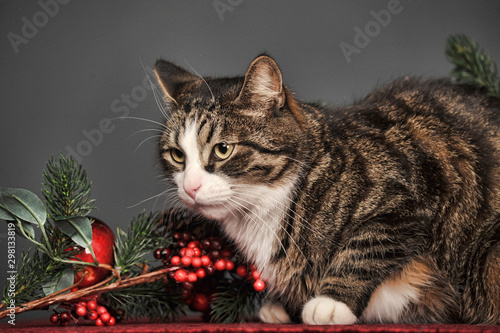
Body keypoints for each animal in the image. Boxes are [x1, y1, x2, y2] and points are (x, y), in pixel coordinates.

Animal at [154, 55, 498, 324]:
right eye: (177, 155)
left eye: (223, 149)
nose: (190, 187)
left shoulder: (408, 196)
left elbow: (366, 247)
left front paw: (331, 303)